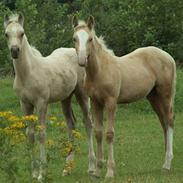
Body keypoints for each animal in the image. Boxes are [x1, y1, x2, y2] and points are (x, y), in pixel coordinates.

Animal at [3, 13, 96, 181]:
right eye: (6, 34)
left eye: (22, 33)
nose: (15, 50)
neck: (28, 73)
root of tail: (79, 54)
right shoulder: (25, 104)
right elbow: (30, 135)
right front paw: (34, 173)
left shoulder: (41, 103)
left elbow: (41, 134)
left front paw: (42, 173)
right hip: (66, 98)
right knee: (71, 124)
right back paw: (67, 168)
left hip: (82, 95)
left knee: (88, 123)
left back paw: (91, 167)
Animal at [72, 15, 177, 177]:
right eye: (74, 38)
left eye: (89, 39)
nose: (82, 60)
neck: (100, 71)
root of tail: (168, 56)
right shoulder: (96, 102)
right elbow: (98, 133)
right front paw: (97, 171)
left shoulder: (111, 102)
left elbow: (109, 134)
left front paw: (109, 171)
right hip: (153, 97)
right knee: (163, 122)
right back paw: (166, 161)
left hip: (165, 94)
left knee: (170, 120)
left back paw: (167, 163)